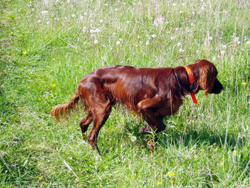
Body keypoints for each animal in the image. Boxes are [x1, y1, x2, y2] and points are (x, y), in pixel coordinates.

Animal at [50, 59, 223, 153]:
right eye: (216, 75)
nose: (222, 88)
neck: (180, 79)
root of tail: (83, 80)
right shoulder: (144, 105)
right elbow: (161, 126)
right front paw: (144, 133)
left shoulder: (152, 112)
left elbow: (156, 128)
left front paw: (149, 140)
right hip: (103, 109)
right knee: (92, 134)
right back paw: (98, 155)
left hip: (98, 107)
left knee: (83, 123)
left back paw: (83, 142)